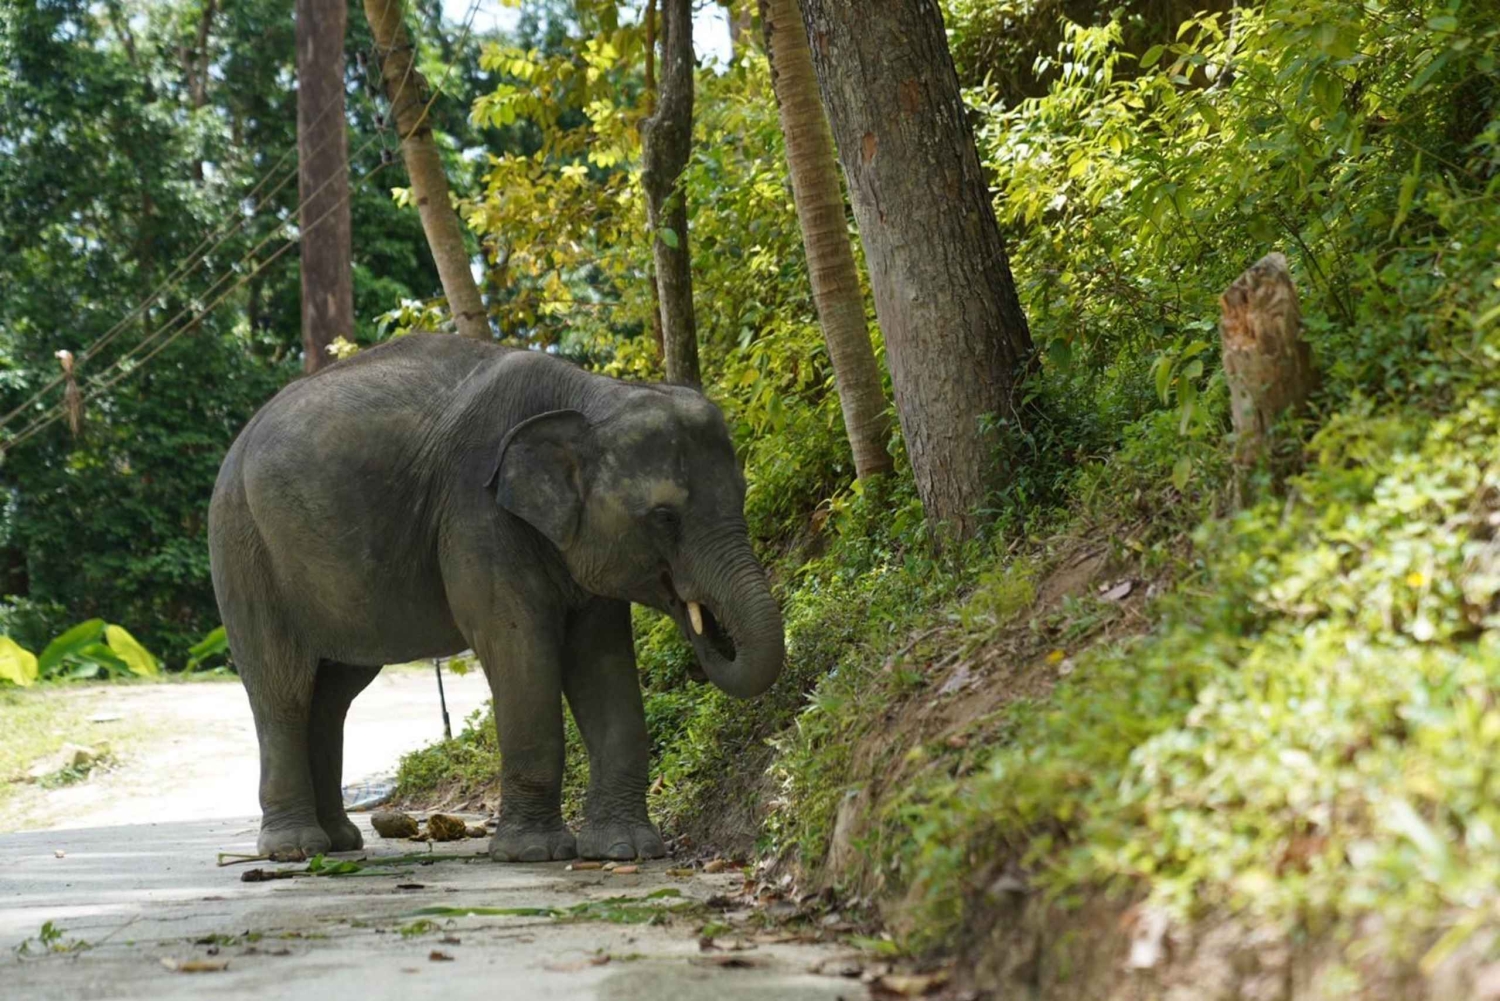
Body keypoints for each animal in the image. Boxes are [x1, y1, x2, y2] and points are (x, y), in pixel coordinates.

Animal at [207, 334, 784, 862]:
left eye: (742, 495)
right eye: (664, 518)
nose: (706, 627)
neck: (591, 394)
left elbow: (603, 664)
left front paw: (627, 850)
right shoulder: (474, 513)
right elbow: (518, 649)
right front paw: (533, 853)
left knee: (332, 695)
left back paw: (341, 843)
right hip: (242, 547)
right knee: (283, 689)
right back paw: (295, 850)